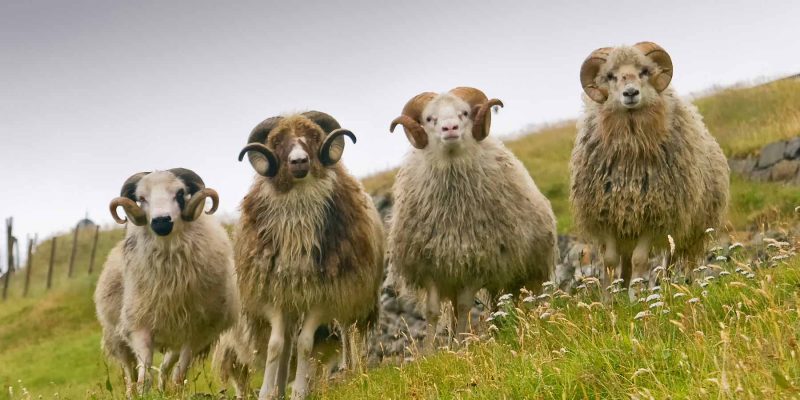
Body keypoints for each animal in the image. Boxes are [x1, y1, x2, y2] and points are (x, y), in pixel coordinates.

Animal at [94, 169, 238, 395]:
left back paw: (162, 389)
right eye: (141, 198)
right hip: (116, 337)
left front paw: (175, 392)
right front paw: (143, 394)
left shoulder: (195, 333)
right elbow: (144, 376)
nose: (161, 221)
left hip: (176, 339)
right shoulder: (139, 325)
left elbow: (179, 376)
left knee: (165, 367)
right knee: (129, 373)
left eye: (180, 193)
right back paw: (132, 393)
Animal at [235, 111, 384, 399]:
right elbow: (276, 345)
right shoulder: (276, 294)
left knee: (348, 333)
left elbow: (305, 344)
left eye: (314, 137)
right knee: (287, 343)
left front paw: (300, 391)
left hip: (350, 295)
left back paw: (352, 371)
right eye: (277, 142)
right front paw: (268, 392)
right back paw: (281, 385)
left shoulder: (324, 296)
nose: (299, 161)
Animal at [388, 87, 558, 349]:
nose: (450, 128)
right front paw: (430, 353)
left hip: (527, 271)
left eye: (464, 113)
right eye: (429, 119)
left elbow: (466, 306)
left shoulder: (478, 265)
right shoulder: (430, 265)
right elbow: (433, 311)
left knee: (518, 299)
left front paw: (459, 347)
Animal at [569, 42, 729, 298]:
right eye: (610, 76)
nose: (630, 93)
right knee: (632, 262)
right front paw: (609, 299)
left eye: (644, 71)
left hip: (692, 229)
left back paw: (678, 287)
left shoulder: (654, 216)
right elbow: (611, 261)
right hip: (630, 229)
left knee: (681, 260)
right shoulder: (607, 216)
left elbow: (640, 260)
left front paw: (636, 298)